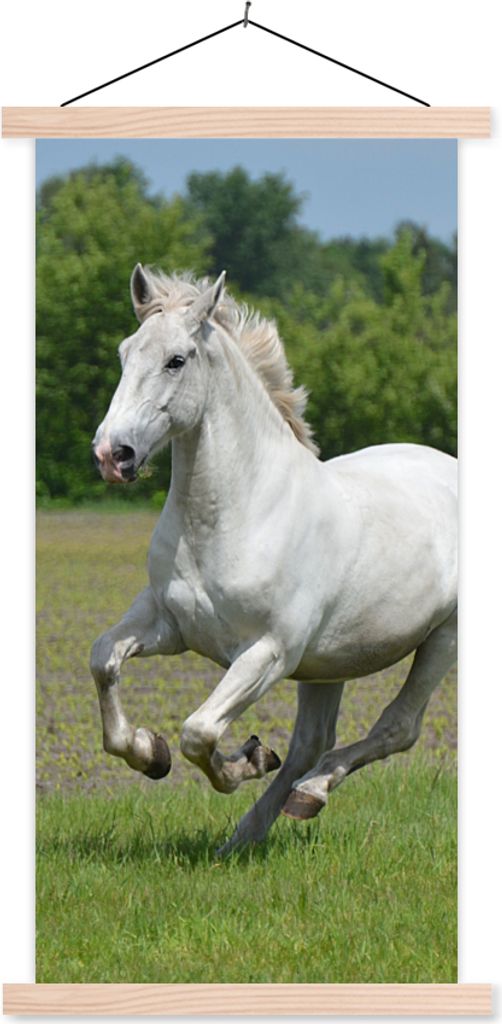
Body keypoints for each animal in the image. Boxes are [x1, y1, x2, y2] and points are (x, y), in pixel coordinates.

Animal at [91, 265, 457, 854]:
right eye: (126, 353)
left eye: (177, 360)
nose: (112, 454)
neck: (236, 517)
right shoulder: (169, 624)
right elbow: (103, 660)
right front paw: (150, 754)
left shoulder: (268, 653)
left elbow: (199, 732)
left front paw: (246, 759)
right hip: (332, 661)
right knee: (313, 740)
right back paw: (245, 837)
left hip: (443, 639)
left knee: (396, 729)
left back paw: (310, 793)